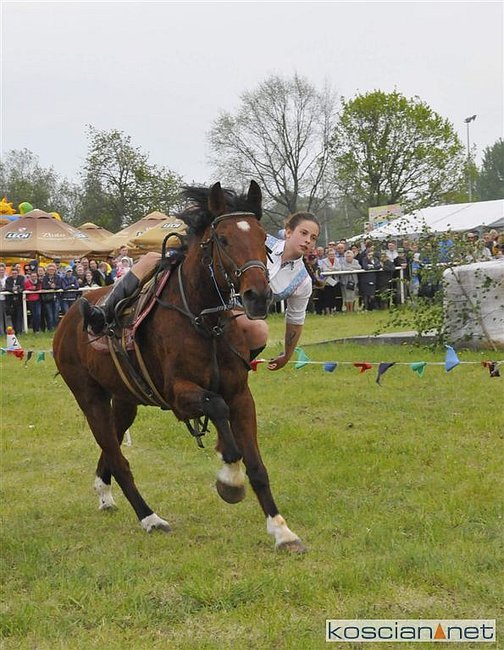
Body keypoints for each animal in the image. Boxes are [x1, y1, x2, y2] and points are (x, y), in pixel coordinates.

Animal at [53, 181, 306, 553]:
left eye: (263, 238)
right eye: (223, 239)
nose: (258, 296)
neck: (204, 321)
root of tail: (69, 317)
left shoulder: (241, 396)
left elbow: (257, 466)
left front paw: (281, 530)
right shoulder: (179, 396)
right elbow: (218, 412)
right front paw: (230, 479)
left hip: (125, 400)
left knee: (111, 447)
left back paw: (104, 492)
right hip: (90, 398)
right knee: (118, 459)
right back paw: (150, 518)